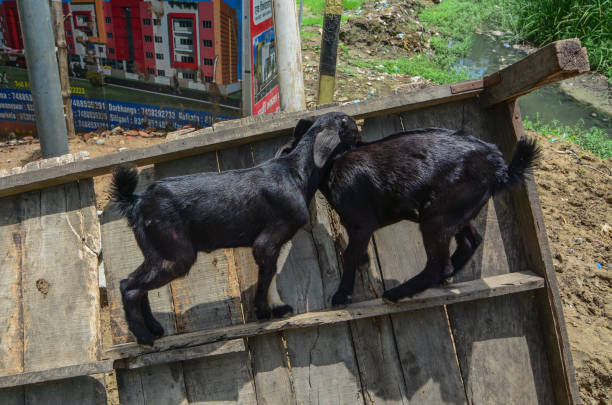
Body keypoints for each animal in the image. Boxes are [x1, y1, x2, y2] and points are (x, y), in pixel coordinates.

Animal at [109, 111, 358, 344]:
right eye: (354, 132)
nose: (362, 143)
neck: (295, 172)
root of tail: (137, 201)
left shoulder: (277, 244)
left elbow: (272, 276)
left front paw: (277, 307)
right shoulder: (266, 242)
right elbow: (265, 278)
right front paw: (262, 311)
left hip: (157, 253)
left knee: (131, 283)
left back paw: (154, 328)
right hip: (176, 255)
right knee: (130, 288)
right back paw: (143, 336)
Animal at [278, 124, 540, 304]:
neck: (334, 163)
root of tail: (499, 167)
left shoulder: (362, 224)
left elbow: (350, 254)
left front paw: (343, 295)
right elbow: (355, 252)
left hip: (436, 217)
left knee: (438, 264)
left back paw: (398, 292)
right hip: (455, 211)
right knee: (469, 241)